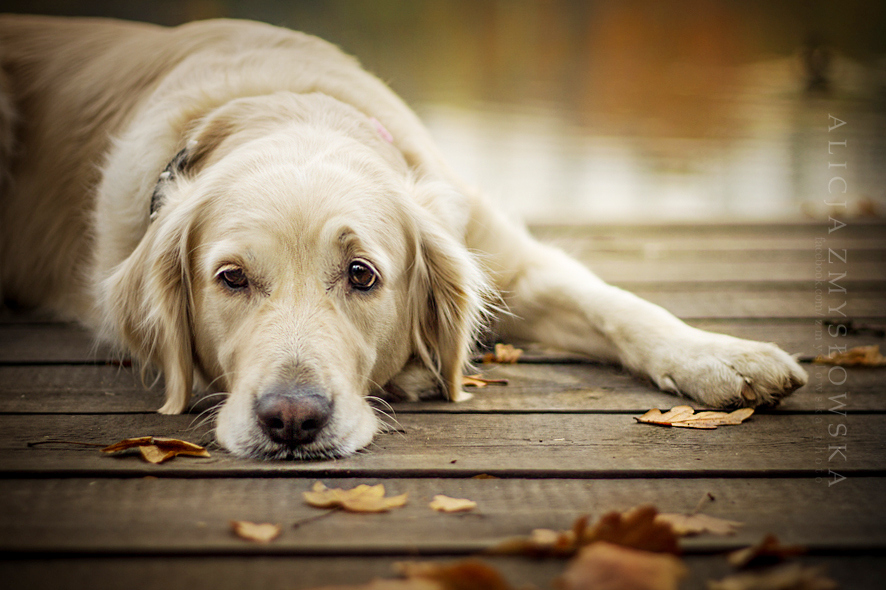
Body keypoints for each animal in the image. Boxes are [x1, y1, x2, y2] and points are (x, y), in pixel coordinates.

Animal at [0, 13, 812, 460]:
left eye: (363, 274)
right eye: (231, 279)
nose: (292, 420)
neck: (284, 104)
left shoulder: (507, 259)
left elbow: (622, 306)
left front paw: (724, 356)